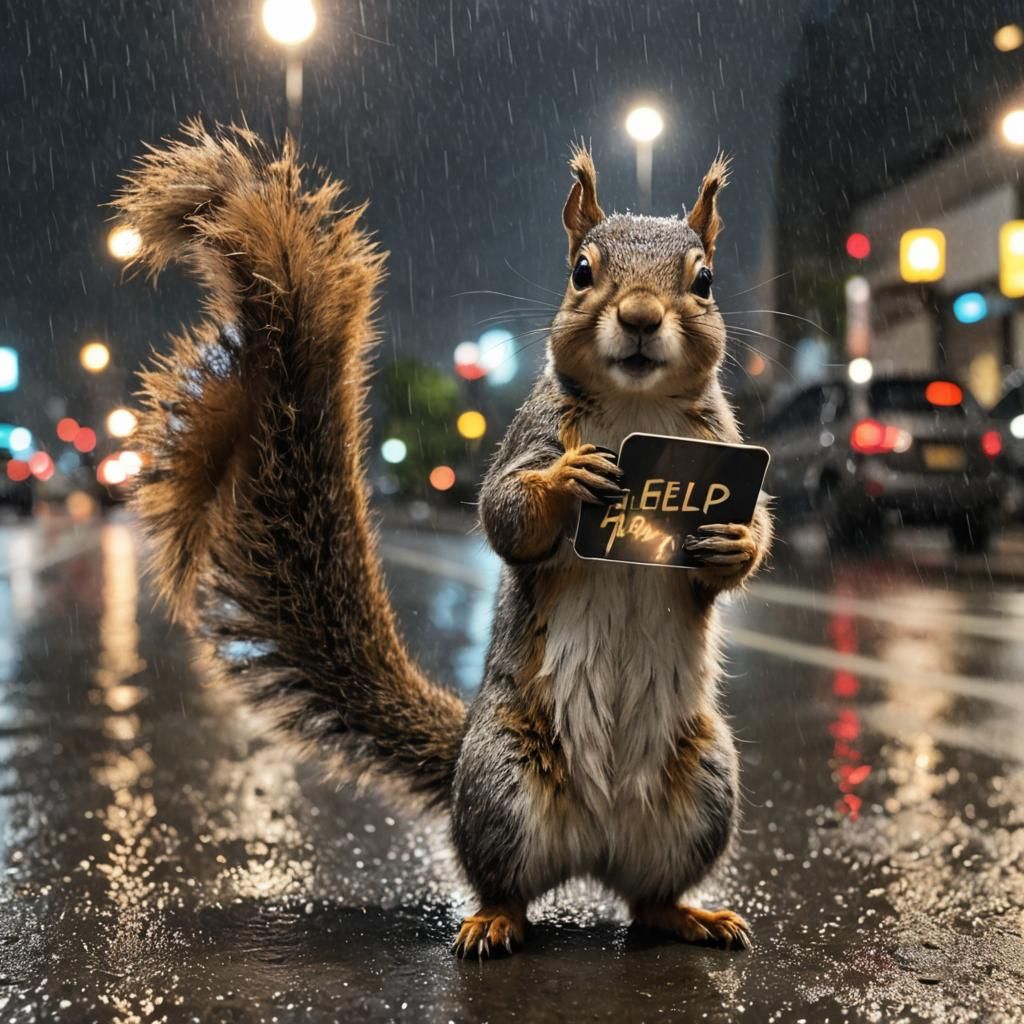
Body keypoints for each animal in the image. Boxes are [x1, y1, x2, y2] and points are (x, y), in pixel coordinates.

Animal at [113, 121, 773, 959]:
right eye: (581, 272)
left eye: (705, 281)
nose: (641, 317)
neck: (636, 407)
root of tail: (593, 848)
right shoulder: (527, 440)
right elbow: (505, 515)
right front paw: (568, 482)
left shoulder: (725, 445)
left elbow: (750, 538)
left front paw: (732, 543)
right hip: (503, 783)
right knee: (505, 882)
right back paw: (495, 921)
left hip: (706, 785)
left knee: (648, 900)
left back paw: (693, 916)